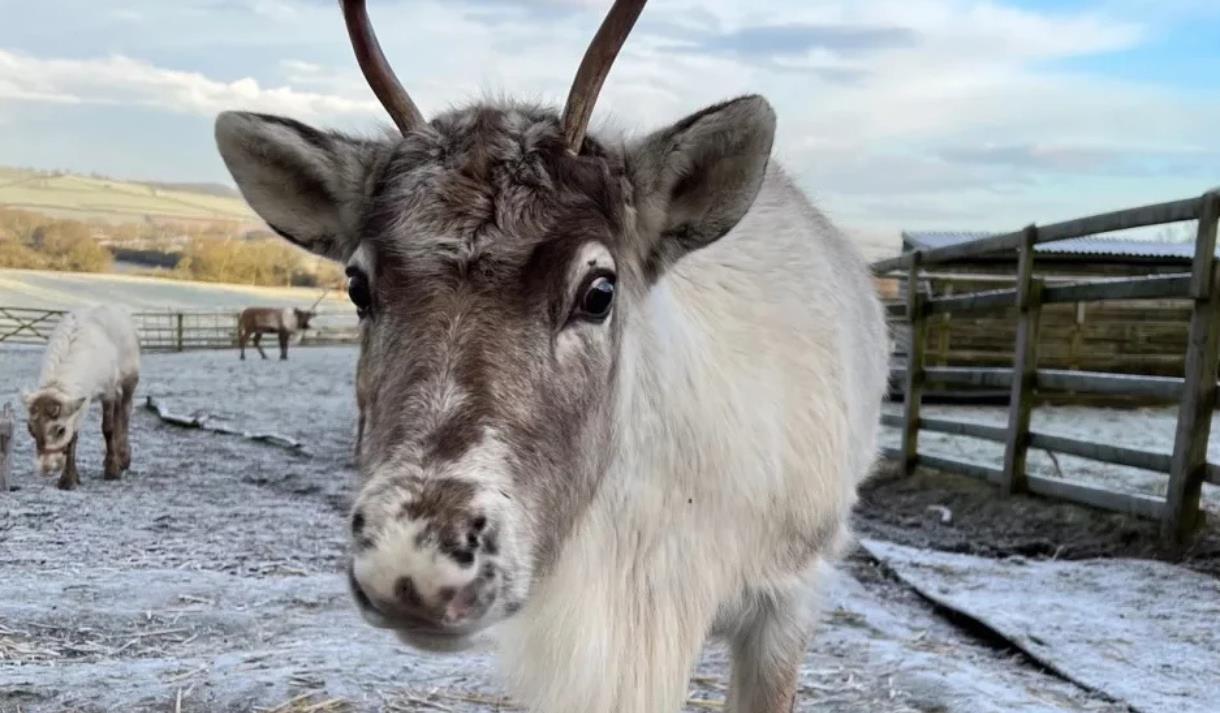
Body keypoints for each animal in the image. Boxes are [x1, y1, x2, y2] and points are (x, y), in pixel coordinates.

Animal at [21, 304, 140, 490]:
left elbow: (107, 428)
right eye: (31, 429)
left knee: (125, 411)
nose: (47, 467)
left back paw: (124, 458)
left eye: (60, 429)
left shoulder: (108, 390)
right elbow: (74, 437)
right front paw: (70, 479)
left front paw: (112, 471)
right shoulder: (81, 400)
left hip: (130, 379)